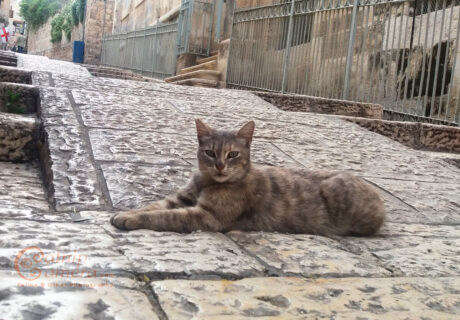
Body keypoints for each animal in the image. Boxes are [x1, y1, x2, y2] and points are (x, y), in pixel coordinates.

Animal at [110, 119, 384, 235]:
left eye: (232, 154)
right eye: (210, 153)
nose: (220, 166)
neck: (207, 183)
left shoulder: (205, 216)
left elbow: (161, 216)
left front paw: (129, 219)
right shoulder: (180, 198)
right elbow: (154, 205)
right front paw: (125, 212)